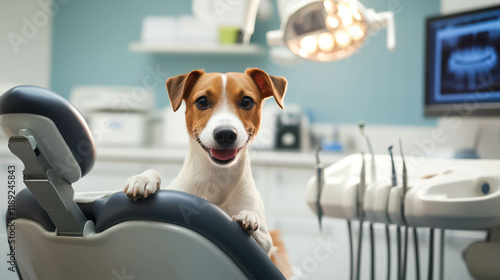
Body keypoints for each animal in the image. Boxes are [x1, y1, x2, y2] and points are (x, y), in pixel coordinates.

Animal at [123, 68, 288, 254]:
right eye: (202, 101)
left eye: (247, 101)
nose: (225, 134)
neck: (215, 178)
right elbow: (153, 171)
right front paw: (143, 179)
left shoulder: (266, 243)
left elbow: (259, 232)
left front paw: (249, 216)